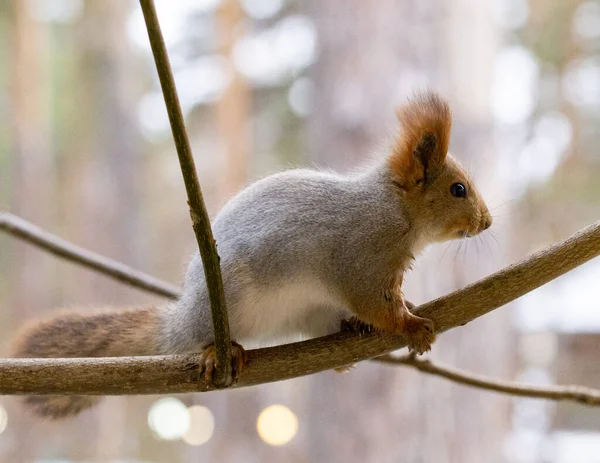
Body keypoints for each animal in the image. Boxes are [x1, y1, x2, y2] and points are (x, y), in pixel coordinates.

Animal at [11, 90, 492, 420]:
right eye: (458, 189)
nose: (487, 223)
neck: (395, 210)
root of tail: (178, 322)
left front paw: (405, 308)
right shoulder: (362, 257)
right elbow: (375, 302)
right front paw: (412, 325)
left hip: (311, 311)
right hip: (227, 301)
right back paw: (218, 352)